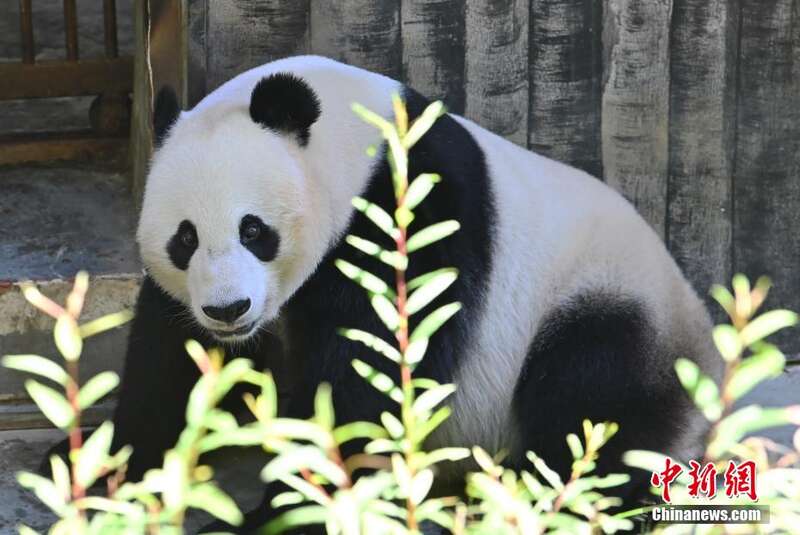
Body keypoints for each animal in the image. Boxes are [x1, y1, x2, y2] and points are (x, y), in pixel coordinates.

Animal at [69, 56, 723, 530]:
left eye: (253, 230)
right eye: (185, 238)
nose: (228, 310)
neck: (353, 145)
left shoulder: (410, 213)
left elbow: (367, 375)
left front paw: (281, 514)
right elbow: (170, 365)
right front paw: (104, 467)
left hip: (608, 299)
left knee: (593, 399)